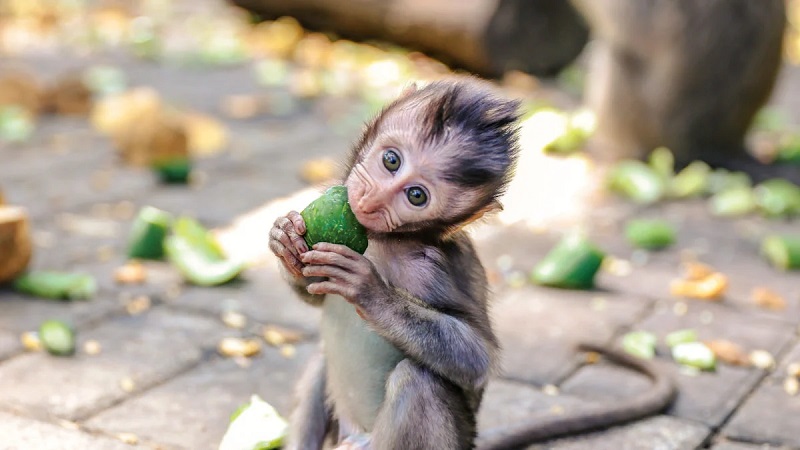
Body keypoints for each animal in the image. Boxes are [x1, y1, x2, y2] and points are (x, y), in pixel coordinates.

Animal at [268, 77, 676, 450]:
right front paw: (286, 240)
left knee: (418, 380)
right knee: (321, 360)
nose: (372, 200)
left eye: (416, 196)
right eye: (391, 160)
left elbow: (477, 357)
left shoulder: (432, 268)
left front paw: (370, 291)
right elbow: (314, 288)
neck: (384, 242)